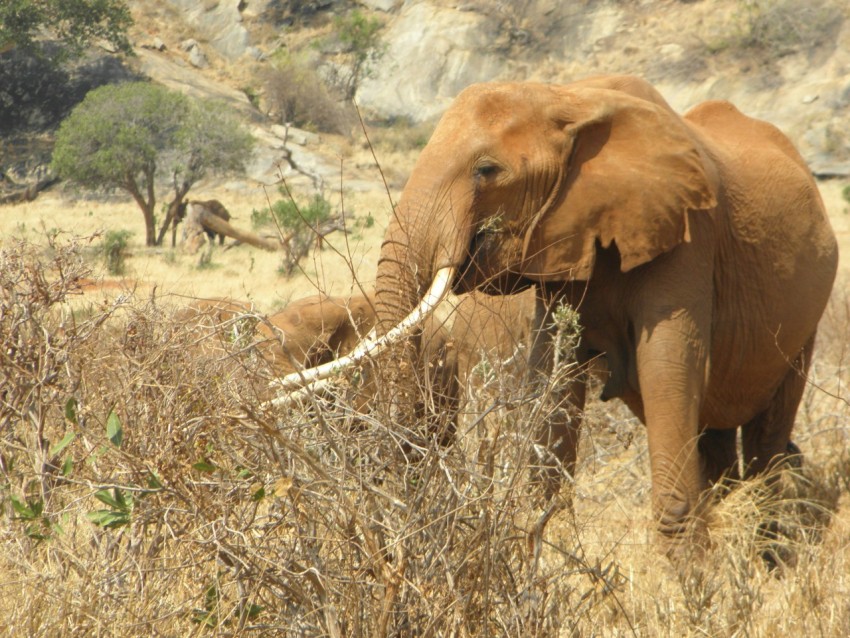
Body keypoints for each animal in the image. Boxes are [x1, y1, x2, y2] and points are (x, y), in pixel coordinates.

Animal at [276, 76, 836, 556]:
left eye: (487, 170)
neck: (567, 97)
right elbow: (551, 380)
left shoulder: (688, 236)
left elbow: (668, 371)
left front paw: (691, 593)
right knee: (717, 436)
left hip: (808, 315)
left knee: (766, 436)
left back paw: (767, 555)